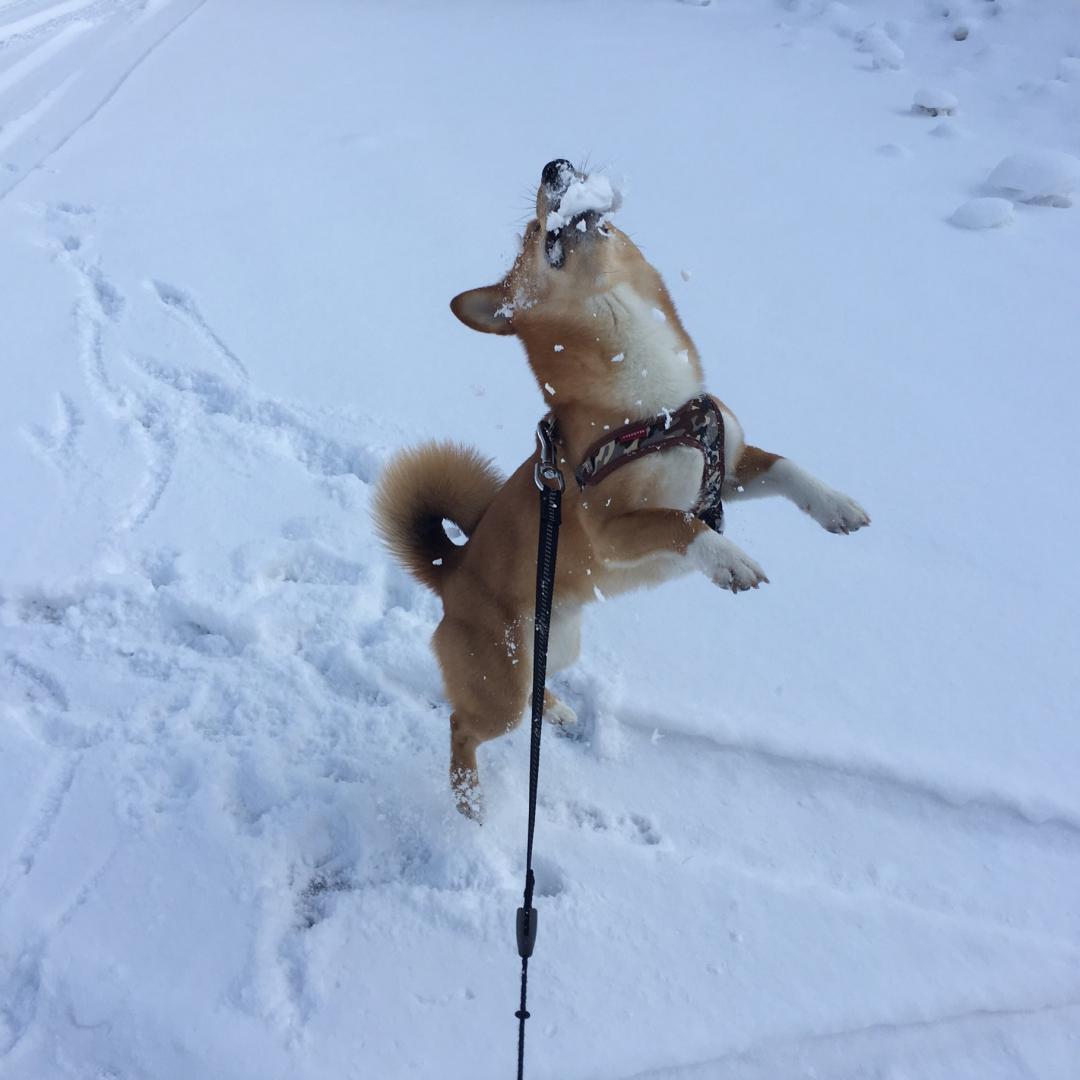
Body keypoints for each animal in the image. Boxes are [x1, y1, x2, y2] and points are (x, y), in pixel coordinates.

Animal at [371, 162, 868, 816]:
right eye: (533, 230)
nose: (553, 165)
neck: (652, 403)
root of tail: (449, 570)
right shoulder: (611, 527)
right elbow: (680, 524)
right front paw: (727, 559)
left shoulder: (726, 469)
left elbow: (789, 469)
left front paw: (837, 506)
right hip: (498, 683)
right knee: (463, 725)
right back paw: (469, 799)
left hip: (557, 645)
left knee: (534, 688)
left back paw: (554, 709)